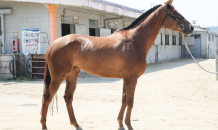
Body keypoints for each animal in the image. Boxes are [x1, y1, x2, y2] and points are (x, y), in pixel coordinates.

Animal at [41, 0, 194, 129]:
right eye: (175, 13)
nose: (191, 27)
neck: (134, 41)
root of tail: (53, 45)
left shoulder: (126, 78)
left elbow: (124, 100)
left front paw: (120, 123)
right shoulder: (132, 78)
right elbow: (130, 101)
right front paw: (129, 125)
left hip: (72, 75)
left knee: (68, 98)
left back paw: (76, 125)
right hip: (58, 77)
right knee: (47, 97)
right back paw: (44, 125)